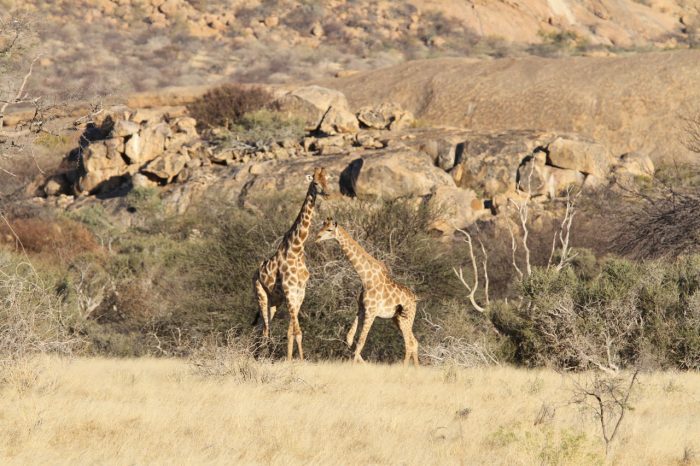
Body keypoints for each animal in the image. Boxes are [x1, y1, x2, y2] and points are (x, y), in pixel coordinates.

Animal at [253, 167, 330, 360]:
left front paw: (296, 360)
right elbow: (296, 331)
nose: (327, 193)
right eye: (315, 182)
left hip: (275, 301)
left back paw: (257, 355)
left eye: (327, 180)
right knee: (266, 330)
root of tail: (254, 273)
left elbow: (293, 332)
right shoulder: (289, 290)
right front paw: (294, 361)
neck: (297, 248)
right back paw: (262, 357)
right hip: (261, 296)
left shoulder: (299, 293)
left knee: (261, 329)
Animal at [314, 217, 418, 366]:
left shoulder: (371, 312)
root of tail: (415, 300)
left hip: (406, 318)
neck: (365, 278)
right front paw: (364, 364)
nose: (317, 237)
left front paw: (354, 366)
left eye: (329, 229)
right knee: (414, 342)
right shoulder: (362, 309)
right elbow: (350, 337)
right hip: (397, 319)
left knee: (409, 343)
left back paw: (404, 369)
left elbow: (361, 342)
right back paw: (416, 368)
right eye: (321, 227)